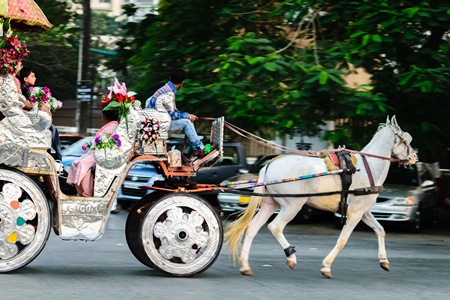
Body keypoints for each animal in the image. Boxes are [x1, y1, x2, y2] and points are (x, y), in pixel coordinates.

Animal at [227, 116, 416, 278]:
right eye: (407, 140)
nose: (414, 157)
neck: (368, 167)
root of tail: (269, 165)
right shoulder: (354, 213)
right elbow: (342, 240)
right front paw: (326, 266)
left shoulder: (364, 212)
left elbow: (380, 230)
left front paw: (384, 260)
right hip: (292, 205)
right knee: (275, 226)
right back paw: (291, 257)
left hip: (270, 204)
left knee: (252, 228)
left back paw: (245, 265)